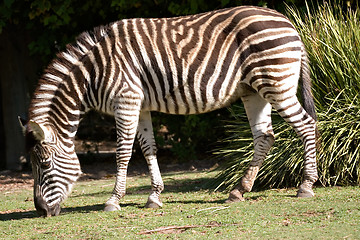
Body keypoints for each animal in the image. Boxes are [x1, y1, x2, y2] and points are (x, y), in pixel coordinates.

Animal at [20, 5, 318, 217]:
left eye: (44, 165)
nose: (41, 211)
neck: (93, 74)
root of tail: (287, 22)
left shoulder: (126, 100)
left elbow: (123, 152)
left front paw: (114, 200)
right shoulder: (139, 105)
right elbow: (148, 149)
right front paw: (154, 196)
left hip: (275, 83)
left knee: (305, 125)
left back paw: (306, 185)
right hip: (253, 91)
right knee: (265, 137)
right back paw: (238, 191)